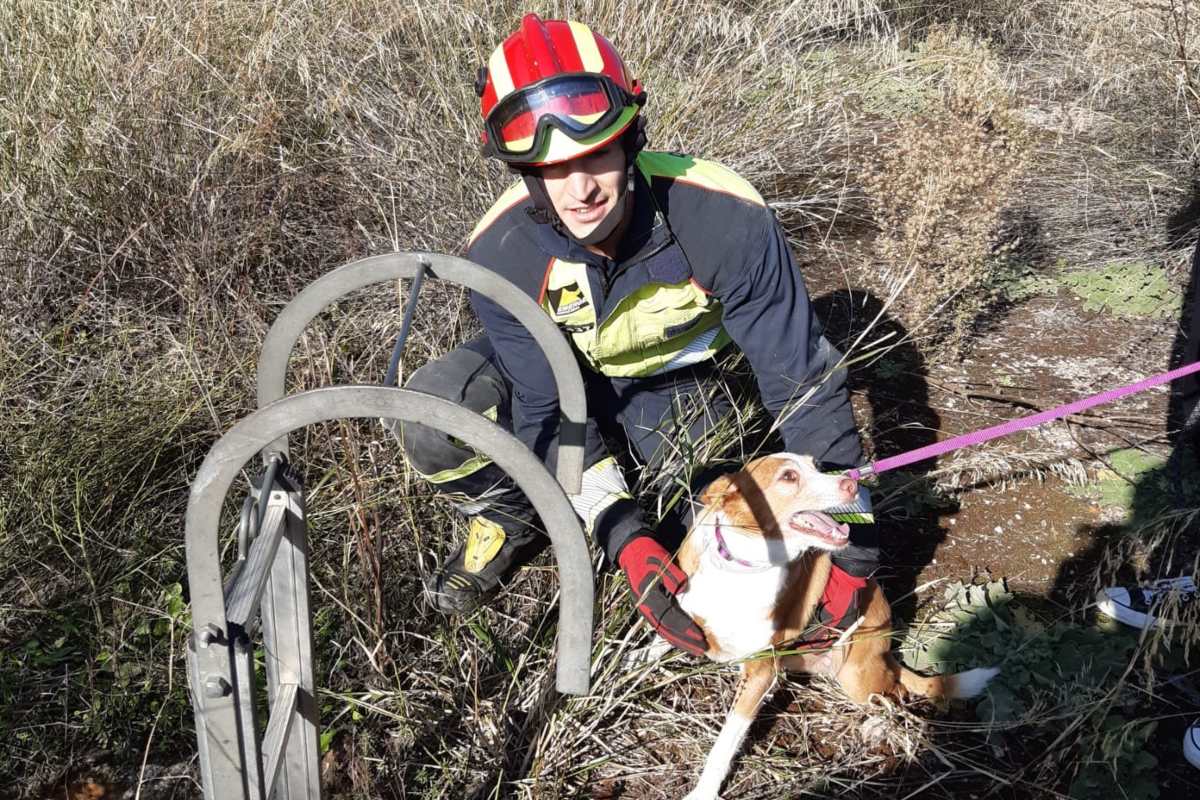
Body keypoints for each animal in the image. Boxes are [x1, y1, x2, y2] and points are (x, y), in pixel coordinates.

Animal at [672, 455, 998, 800]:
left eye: (815, 465)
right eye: (788, 476)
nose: (852, 482)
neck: (739, 566)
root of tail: (887, 654)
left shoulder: (761, 670)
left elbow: (725, 742)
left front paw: (704, 791)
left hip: (856, 677)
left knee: (895, 692)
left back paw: (878, 725)